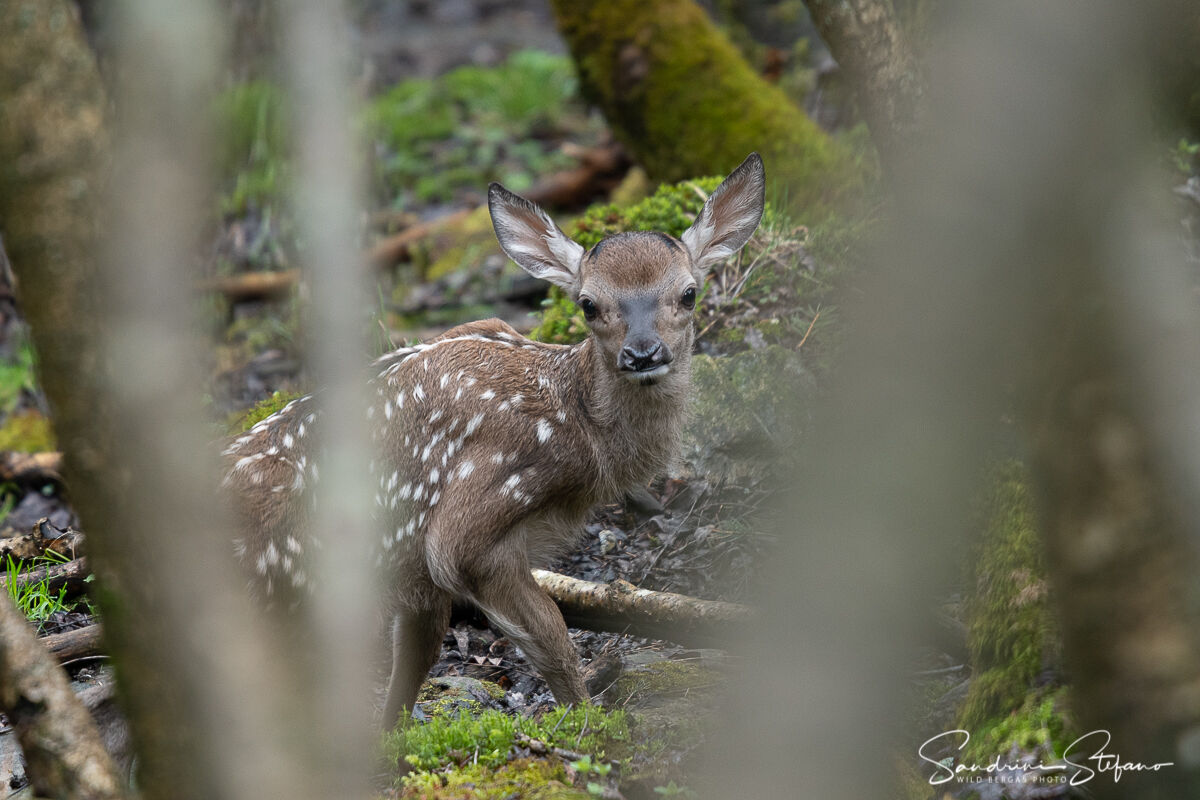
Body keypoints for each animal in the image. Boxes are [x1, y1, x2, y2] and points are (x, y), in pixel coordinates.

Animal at [221, 153, 765, 728]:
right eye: (588, 304)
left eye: (688, 292)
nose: (643, 353)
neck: (578, 426)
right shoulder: (469, 524)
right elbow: (552, 638)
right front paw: (589, 724)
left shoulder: (418, 572)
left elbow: (415, 657)